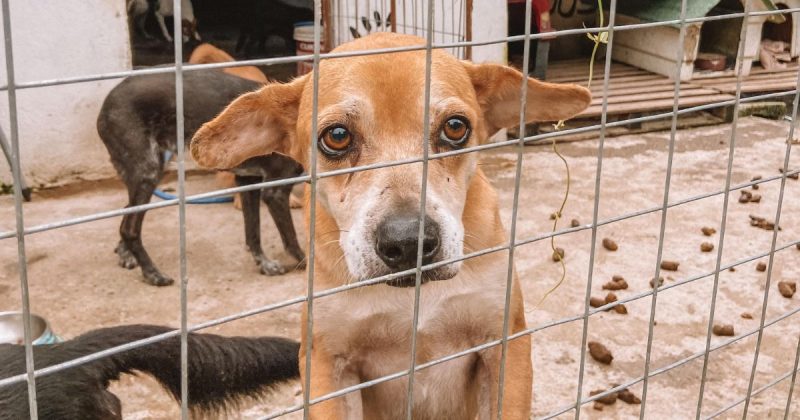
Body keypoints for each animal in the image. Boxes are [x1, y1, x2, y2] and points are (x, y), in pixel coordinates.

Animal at [97, 70, 304, 286]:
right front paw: (304, 261)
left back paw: (126, 253)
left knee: (127, 211)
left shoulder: (248, 181)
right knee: (129, 228)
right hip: (148, 172)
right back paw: (151, 272)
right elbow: (291, 238)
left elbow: (253, 231)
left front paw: (263, 263)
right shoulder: (275, 192)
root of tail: (108, 101)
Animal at [188, 33, 588, 420]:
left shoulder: (506, 342)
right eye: (336, 136)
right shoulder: (325, 362)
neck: (412, 296)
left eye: (455, 127)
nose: (410, 242)